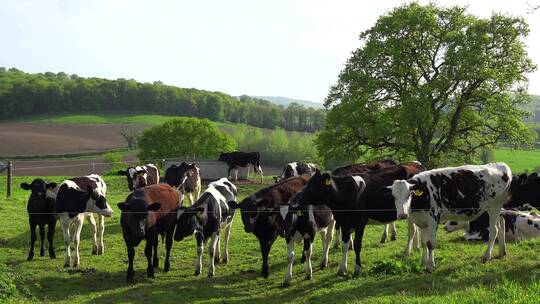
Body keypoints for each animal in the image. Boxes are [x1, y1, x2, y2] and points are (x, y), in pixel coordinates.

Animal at [294, 164, 424, 278]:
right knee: (416, 228)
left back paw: (407, 252)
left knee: (412, 230)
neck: (346, 193)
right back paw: (416, 247)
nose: (296, 202)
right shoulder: (344, 223)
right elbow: (345, 246)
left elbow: (357, 245)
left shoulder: (360, 223)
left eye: (313, 186)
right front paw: (342, 269)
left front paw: (357, 269)